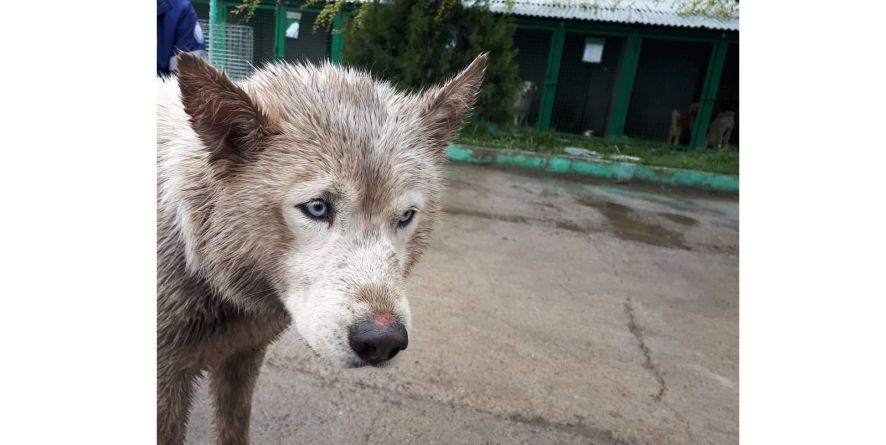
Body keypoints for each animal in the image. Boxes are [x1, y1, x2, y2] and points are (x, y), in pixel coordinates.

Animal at [156, 53, 490, 444]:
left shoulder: (243, 356)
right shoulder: (166, 383)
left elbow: (234, 429)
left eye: (406, 216)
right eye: (317, 208)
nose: (383, 341)